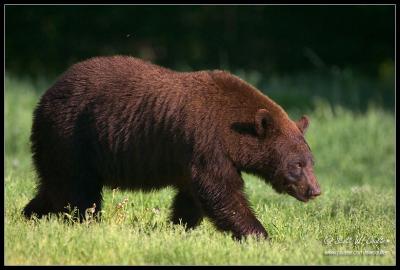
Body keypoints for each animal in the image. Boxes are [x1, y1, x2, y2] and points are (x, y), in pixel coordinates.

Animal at [23, 54, 320, 238]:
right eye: (297, 164)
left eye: (311, 162)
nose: (315, 190)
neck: (232, 129)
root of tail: (45, 96)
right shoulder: (207, 144)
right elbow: (222, 192)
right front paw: (259, 235)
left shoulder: (191, 159)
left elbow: (192, 196)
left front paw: (180, 228)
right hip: (71, 137)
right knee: (78, 191)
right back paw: (86, 223)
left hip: (60, 146)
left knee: (55, 187)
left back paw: (31, 215)